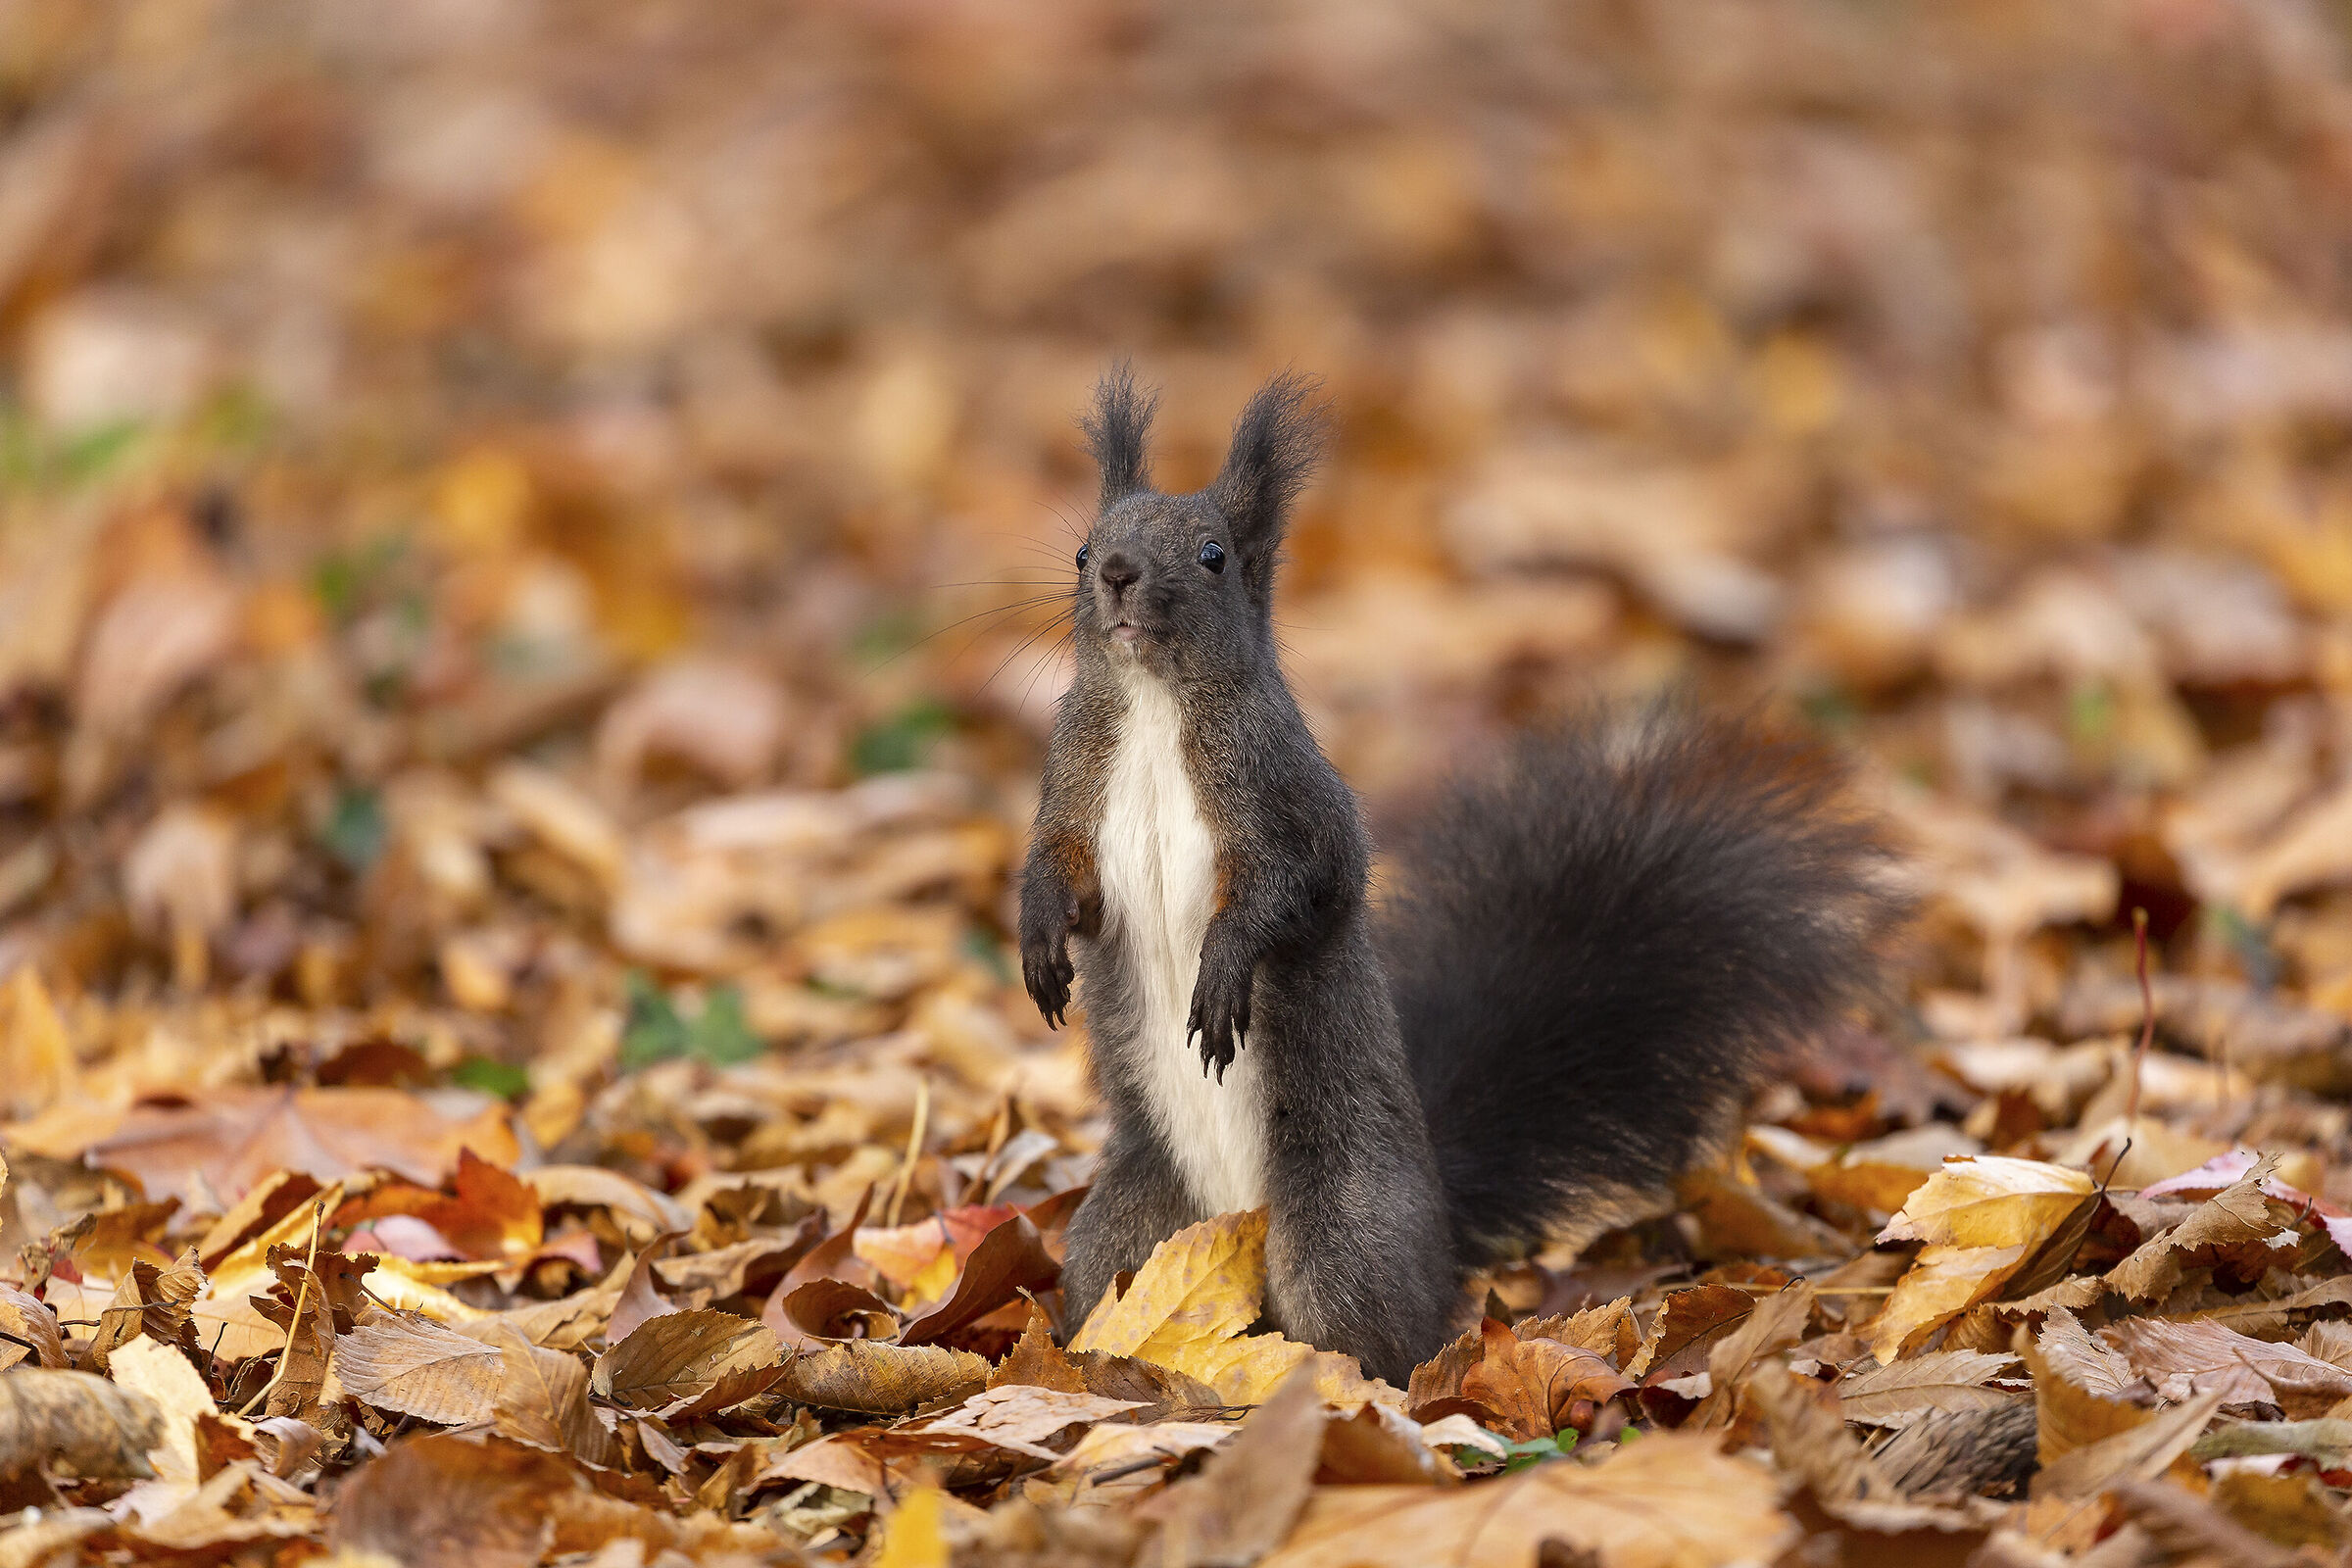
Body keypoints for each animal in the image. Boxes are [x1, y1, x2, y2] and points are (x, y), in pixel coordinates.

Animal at [1019, 366, 1903, 1384]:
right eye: (1083, 550)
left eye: (1212, 556)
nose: (1118, 573)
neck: (1155, 706)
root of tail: (1439, 1230)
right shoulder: (1075, 785)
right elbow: (1062, 874)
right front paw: (1038, 940)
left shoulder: (1293, 803)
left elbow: (1294, 892)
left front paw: (1225, 970)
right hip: (1128, 1235)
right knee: (1110, 1291)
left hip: (1341, 1234)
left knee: (1372, 1334)